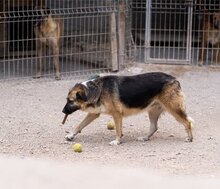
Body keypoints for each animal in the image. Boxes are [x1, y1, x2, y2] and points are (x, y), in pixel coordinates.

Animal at [61, 72, 192, 145]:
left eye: (70, 101)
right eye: (67, 100)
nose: (63, 111)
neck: (97, 89)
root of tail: (174, 79)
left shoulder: (117, 114)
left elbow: (118, 130)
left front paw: (117, 141)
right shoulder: (93, 114)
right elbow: (79, 125)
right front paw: (71, 135)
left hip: (174, 110)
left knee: (187, 122)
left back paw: (190, 138)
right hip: (152, 111)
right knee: (154, 127)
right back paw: (145, 138)